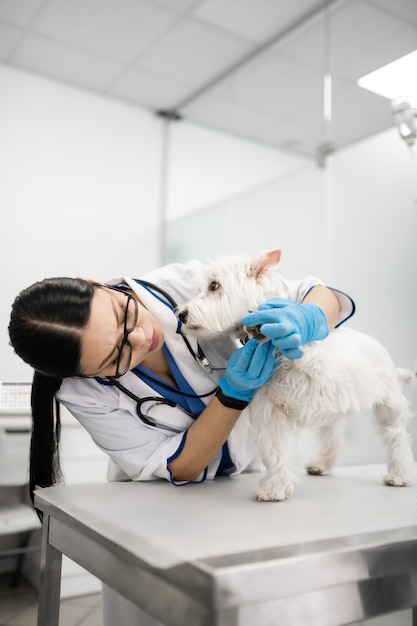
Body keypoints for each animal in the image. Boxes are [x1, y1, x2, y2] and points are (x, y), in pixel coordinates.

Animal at [177, 246, 414, 500]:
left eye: (214, 285)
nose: (180, 314)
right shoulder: (270, 411)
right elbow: (276, 451)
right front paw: (275, 488)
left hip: (388, 402)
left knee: (396, 436)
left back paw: (400, 475)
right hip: (334, 415)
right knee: (332, 436)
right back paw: (322, 465)